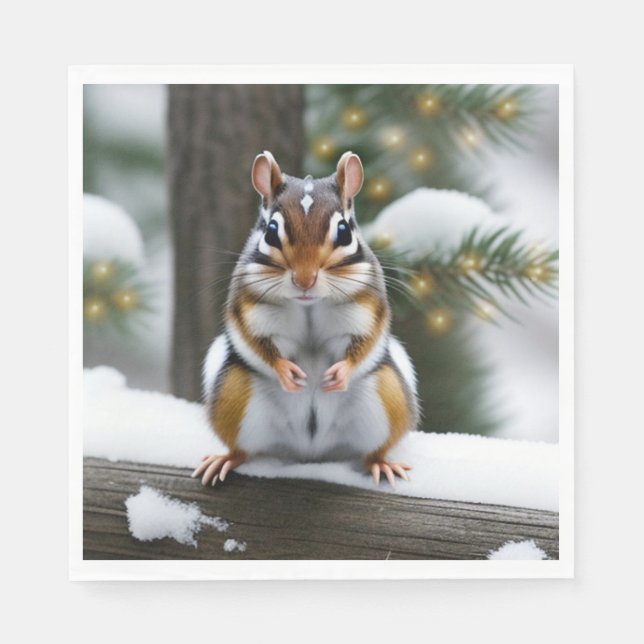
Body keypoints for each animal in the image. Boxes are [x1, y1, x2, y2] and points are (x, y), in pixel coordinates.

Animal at [192, 150, 419, 488]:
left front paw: (341, 372)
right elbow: (255, 341)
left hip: (386, 400)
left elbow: (365, 341)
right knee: (242, 450)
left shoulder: (368, 305)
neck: (308, 304)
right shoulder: (247, 306)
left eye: (344, 231)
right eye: (271, 231)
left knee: (373, 451)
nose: (304, 279)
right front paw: (285, 371)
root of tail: (311, 453)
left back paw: (382, 464)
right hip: (234, 396)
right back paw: (225, 460)